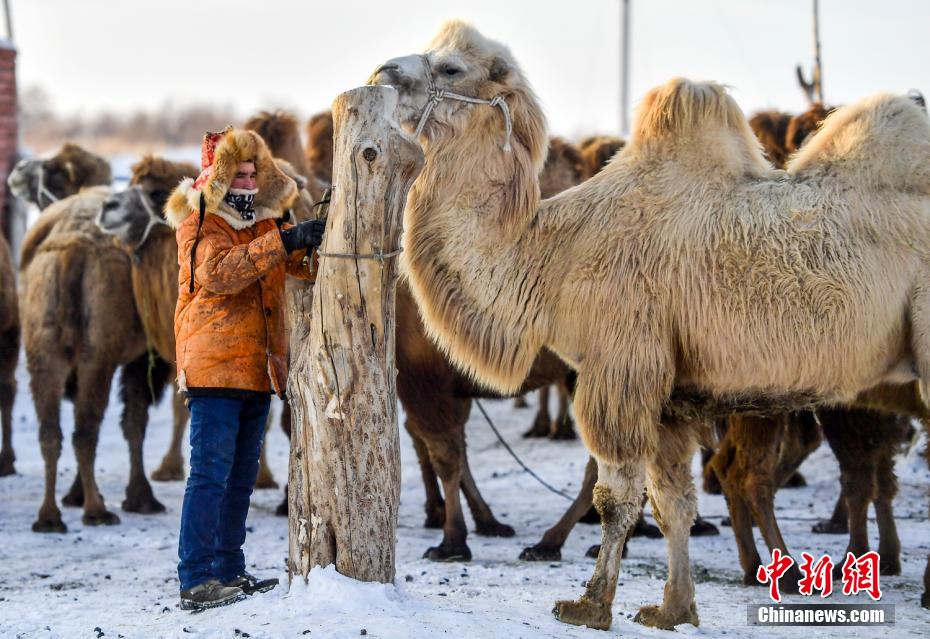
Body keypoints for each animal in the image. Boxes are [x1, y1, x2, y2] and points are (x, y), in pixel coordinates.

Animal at [374, 21, 928, 632]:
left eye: (450, 68)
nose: (383, 72)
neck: (554, 256)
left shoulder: (622, 365)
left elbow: (616, 495)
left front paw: (589, 605)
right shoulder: (668, 396)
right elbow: (672, 502)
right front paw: (673, 609)